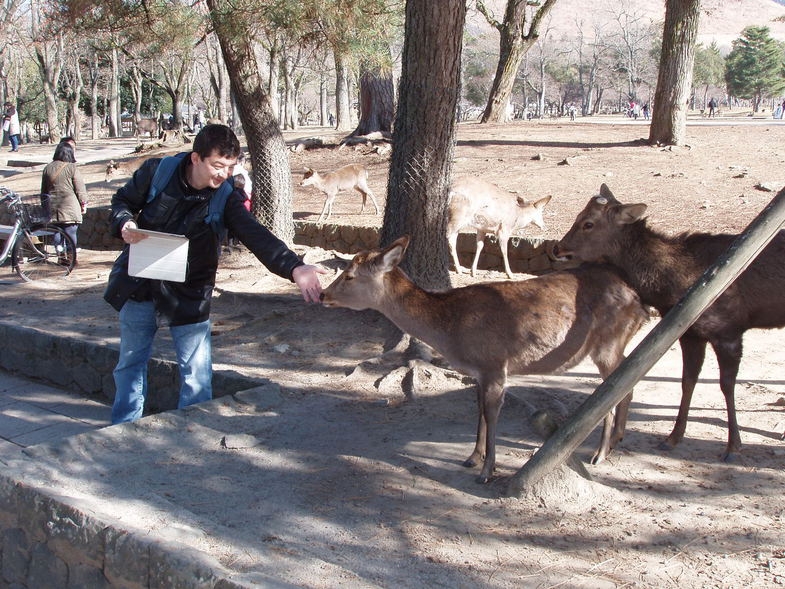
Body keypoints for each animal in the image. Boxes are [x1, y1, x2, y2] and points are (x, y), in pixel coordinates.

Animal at [320, 235, 648, 482]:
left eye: (349, 275)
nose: (322, 294)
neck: (453, 334)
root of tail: (638, 299)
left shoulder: (494, 365)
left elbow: (491, 414)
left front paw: (487, 471)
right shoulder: (478, 371)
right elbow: (478, 410)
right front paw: (471, 458)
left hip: (608, 342)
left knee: (615, 390)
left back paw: (599, 454)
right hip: (613, 345)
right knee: (626, 381)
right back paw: (613, 444)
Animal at [548, 183, 784, 460]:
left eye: (588, 223)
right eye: (578, 216)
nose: (557, 248)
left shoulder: (728, 331)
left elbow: (726, 385)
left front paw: (733, 447)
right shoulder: (690, 334)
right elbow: (687, 381)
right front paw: (673, 437)